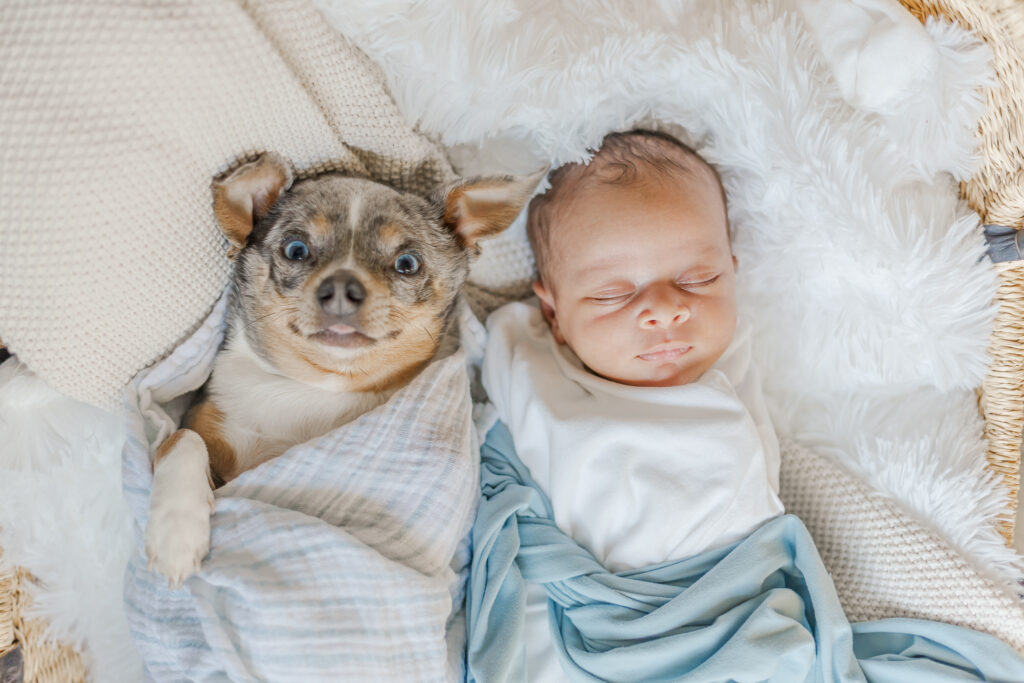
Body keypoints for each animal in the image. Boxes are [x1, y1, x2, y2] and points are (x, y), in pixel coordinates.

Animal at [148, 154, 544, 589]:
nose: (341, 287)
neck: (322, 386)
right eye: (296, 250)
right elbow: (179, 438)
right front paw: (176, 531)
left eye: (407, 264)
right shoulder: (204, 424)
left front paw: (175, 532)